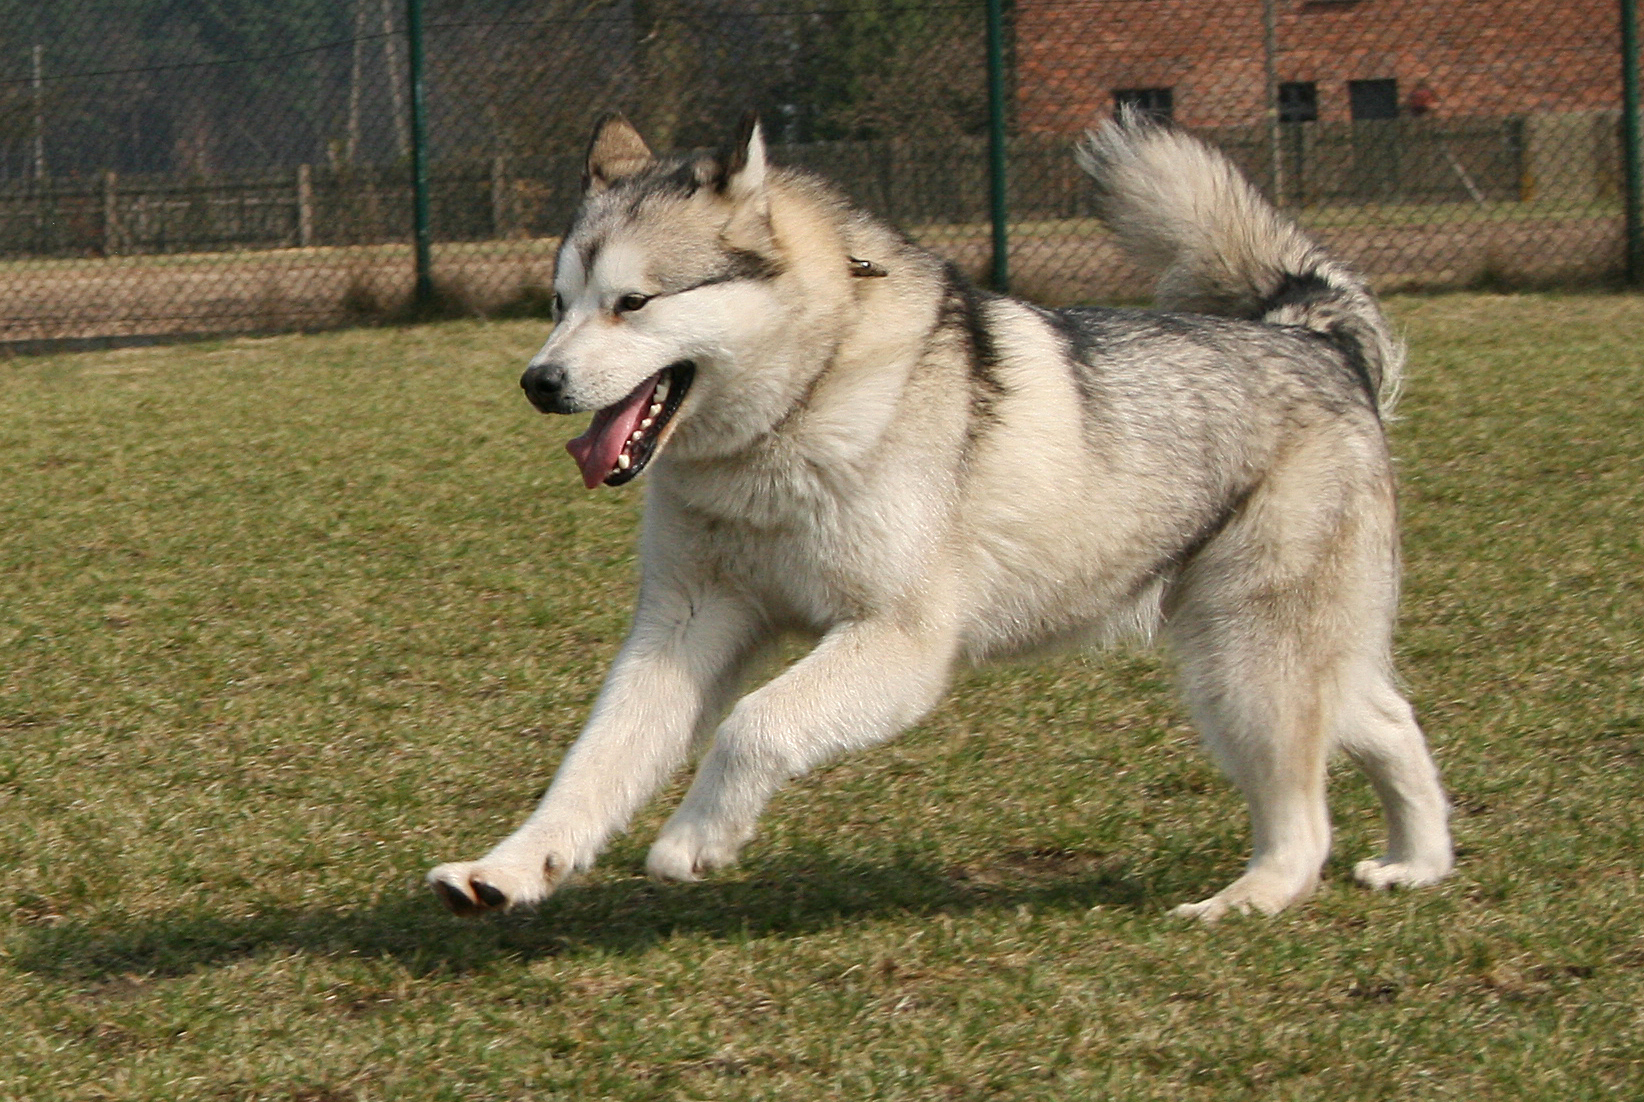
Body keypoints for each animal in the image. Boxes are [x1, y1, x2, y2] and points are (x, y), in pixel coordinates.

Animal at [427, 110, 1453, 921]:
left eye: (633, 303)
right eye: (558, 304)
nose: (538, 382)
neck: (796, 411)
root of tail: (1310, 336)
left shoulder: (900, 642)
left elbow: (755, 724)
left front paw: (695, 840)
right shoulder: (684, 623)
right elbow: (592, 763)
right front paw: (511, 869)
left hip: (1244, 663)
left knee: (1305, 818)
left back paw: (1246, 899)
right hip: (1270, 649)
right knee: (1385, 718)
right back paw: (1418, 862)